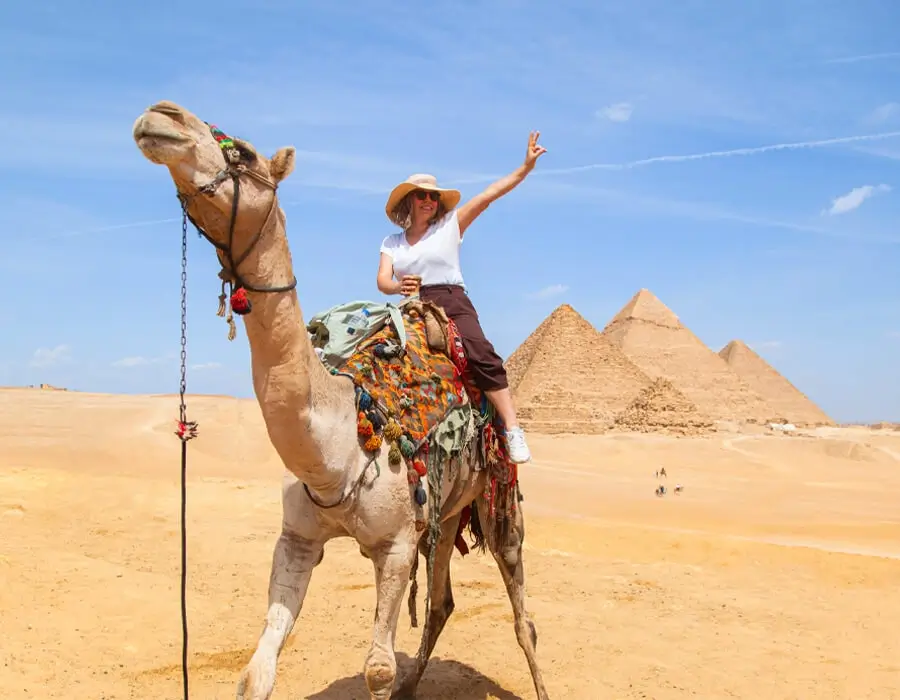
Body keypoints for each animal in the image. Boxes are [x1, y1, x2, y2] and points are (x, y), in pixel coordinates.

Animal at [131, 100, 549, 700]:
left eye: (246, 154)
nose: (162, 115)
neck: (340, 447)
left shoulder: (395, 545)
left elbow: (377, 667)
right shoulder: (298, 537)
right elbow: (256, 671)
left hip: (498, 497)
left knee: (521, 615)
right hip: (446, 510)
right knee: (442, 602)